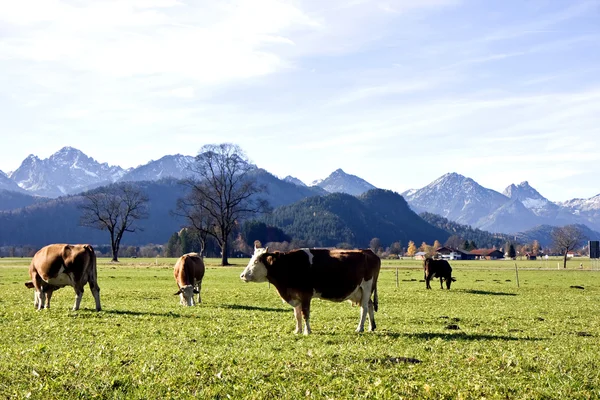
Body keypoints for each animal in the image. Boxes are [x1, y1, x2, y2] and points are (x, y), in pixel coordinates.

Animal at [239, 244, 380, 334]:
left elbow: (305, 313)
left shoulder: (305, 295)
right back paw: (371, 327)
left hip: (367, 287)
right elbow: (297, 314)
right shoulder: (295, 296)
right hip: (360, 291)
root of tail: (369, 252)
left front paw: (307, 331)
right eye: (251, 259)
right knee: (370, 305)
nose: (242, 275)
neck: (289, 265)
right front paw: (297, 330)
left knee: (364, 308)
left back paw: (360, 328)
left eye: (256, 261)